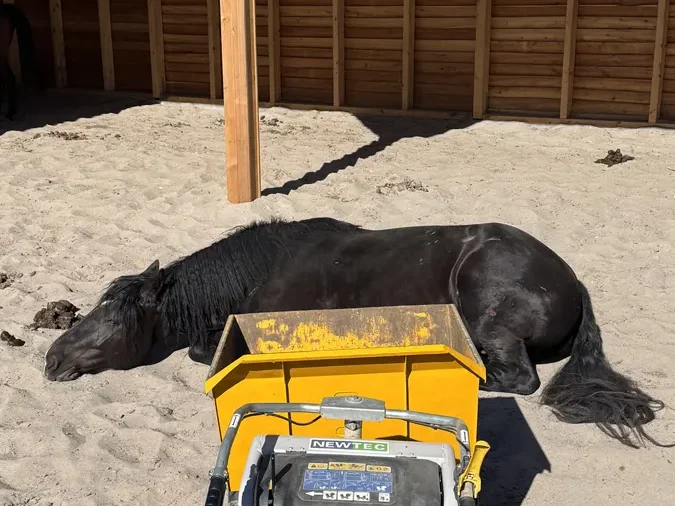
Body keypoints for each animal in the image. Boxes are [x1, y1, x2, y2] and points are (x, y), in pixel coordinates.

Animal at [42, 217, 671, 449]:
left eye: (113, 317)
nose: (52, 358)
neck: (264, 268)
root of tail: (572, 281)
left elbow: (203, 351)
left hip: (489, 320)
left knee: (514, 379)